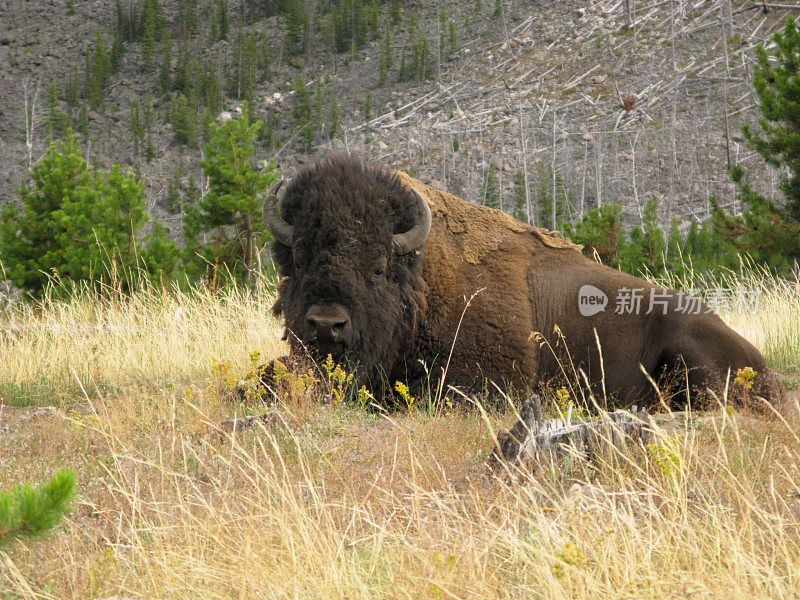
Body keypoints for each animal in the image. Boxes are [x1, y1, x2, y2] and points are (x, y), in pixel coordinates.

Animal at [262, 155, 776, 408]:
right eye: (298, 260)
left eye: (377, 265)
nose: (327, 325)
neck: (423, 276)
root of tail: (761, 363)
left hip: (690, 355)